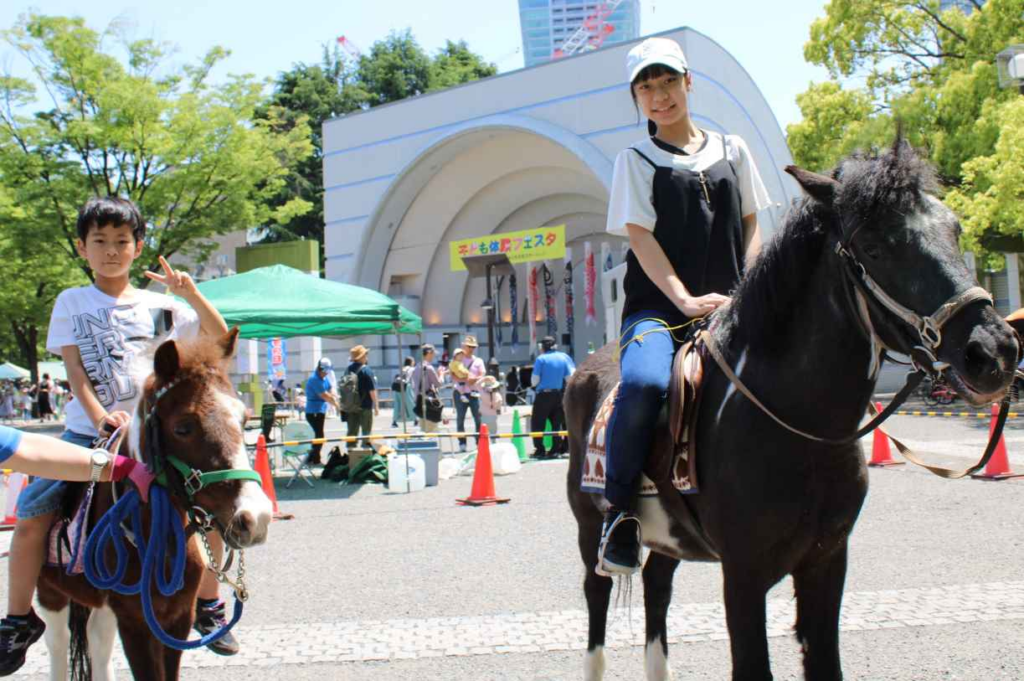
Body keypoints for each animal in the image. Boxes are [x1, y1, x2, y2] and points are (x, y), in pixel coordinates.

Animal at [38, 327, 274, 675]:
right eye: (183, 427)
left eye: (244, 420)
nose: (255, 517)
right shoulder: (134, 619)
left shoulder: (177, 616)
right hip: (50, 592)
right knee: (57, 643)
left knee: (98, 641)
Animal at [565, 139, 1019, 679]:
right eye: (874, 247)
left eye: (954, 228)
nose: (992, 351)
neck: (798, 428)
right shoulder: (743, 574)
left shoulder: (826, 562)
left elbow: (824, 662)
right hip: (590, 525)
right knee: (596, 599)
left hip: (670, 537)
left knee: (657, 588)